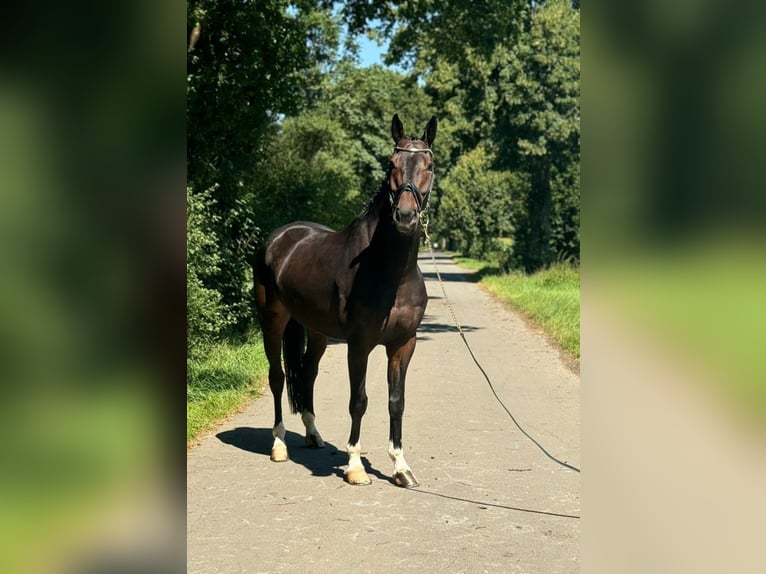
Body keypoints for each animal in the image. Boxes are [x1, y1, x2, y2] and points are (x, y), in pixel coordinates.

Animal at [254, 113, 438, 490]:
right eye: (391, 164)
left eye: (429, 166)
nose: (405, 217)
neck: (392, 273)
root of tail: (279, 237)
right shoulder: (360, 343)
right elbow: (359, 401)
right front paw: (355, 467)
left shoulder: (403, 343)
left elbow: (396, 402)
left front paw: (401, 467)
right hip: (273, 321)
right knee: (278, 376)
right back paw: (279, 444)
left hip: (316, 331)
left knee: (307, 373)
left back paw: (313, 435)